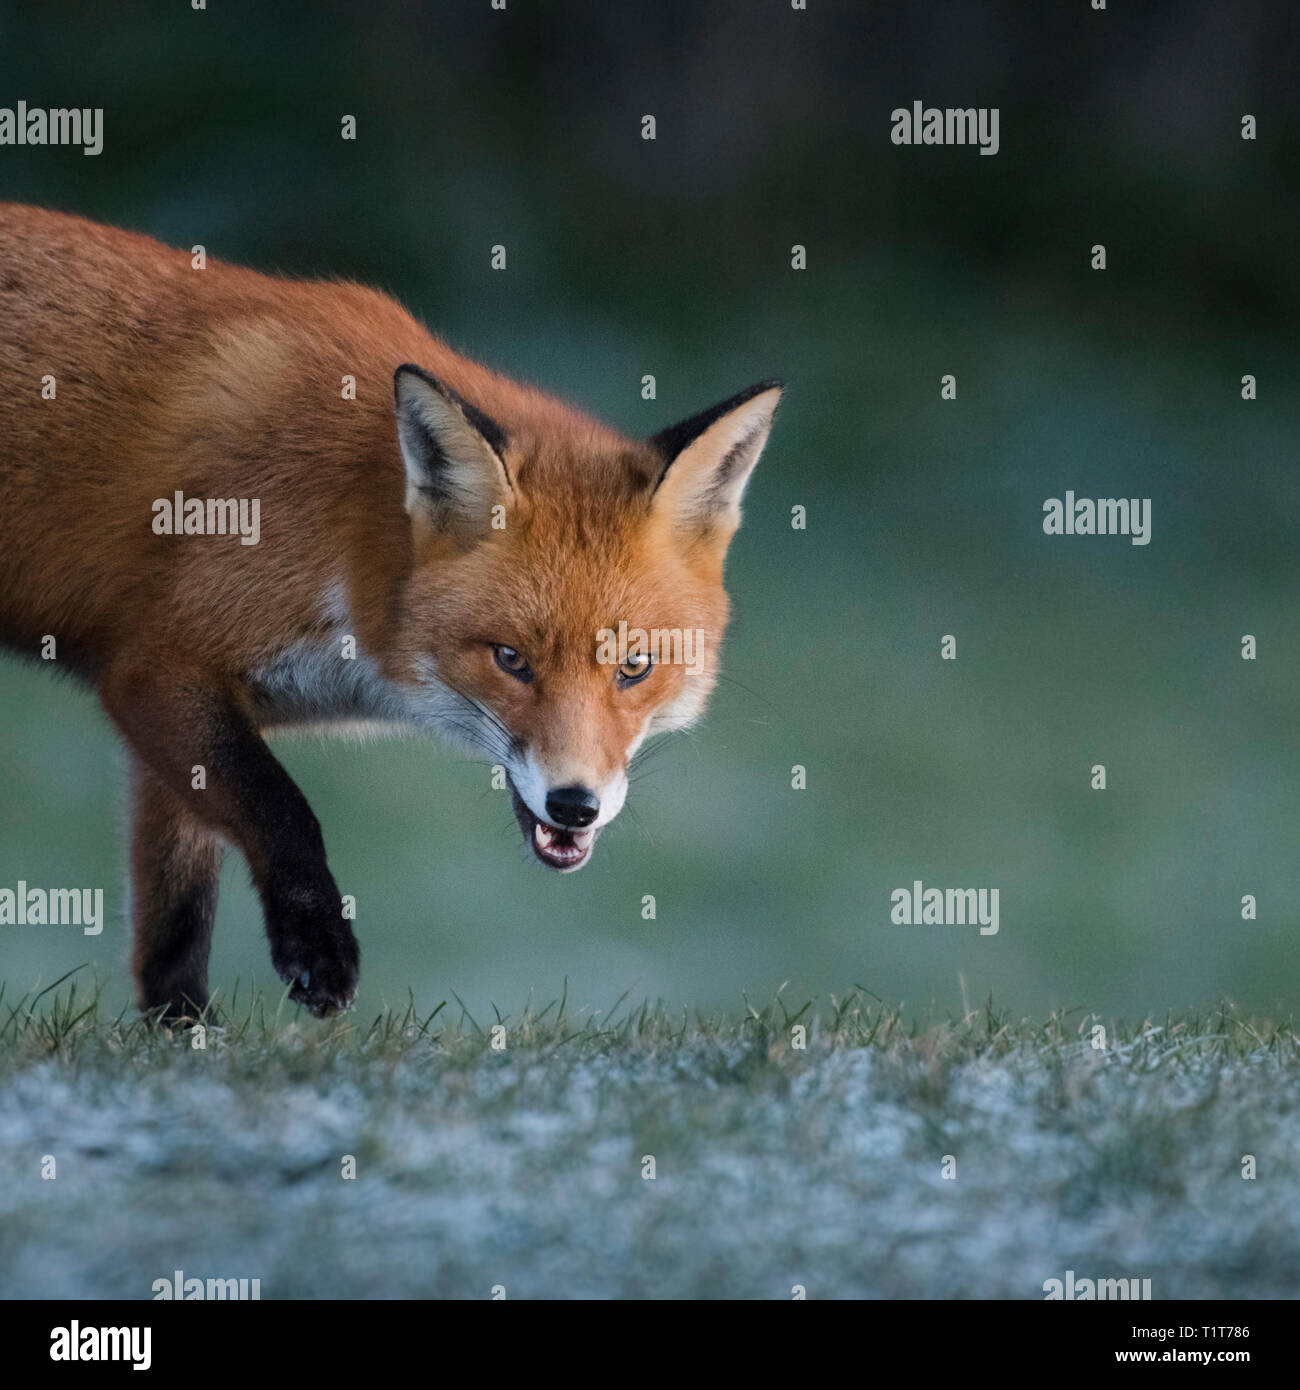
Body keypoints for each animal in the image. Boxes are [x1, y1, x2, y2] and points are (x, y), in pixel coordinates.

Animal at [0, 204, 782, 1020]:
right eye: (510, 659)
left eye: (635, 667)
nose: (575, 806)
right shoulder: (157, 669)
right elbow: (282, 807)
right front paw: (317, 949)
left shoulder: (170, 714)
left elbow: (175, 915)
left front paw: (181, 1030)